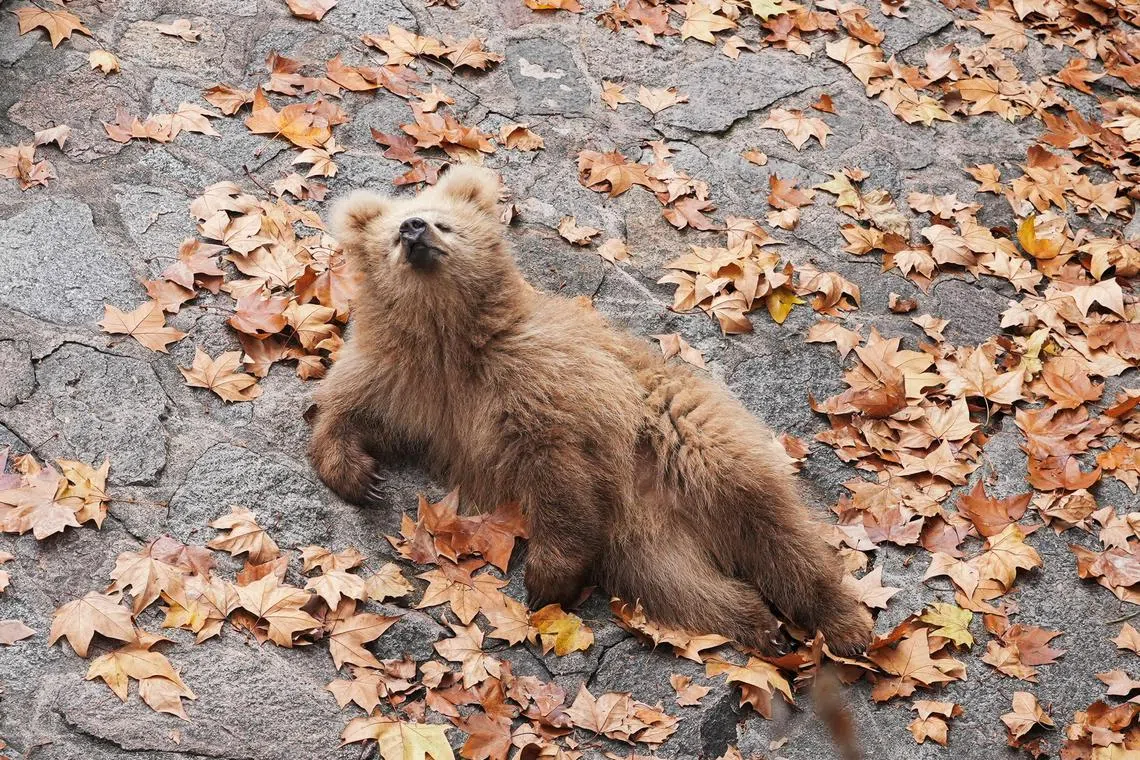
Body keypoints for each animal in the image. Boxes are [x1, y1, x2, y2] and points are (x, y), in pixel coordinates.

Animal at [308, 165, 874, 656]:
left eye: (443, 220)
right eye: (390, 234)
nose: (414, 227)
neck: (449, 340)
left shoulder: (539, 382)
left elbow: (559, 470)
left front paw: (543, 578)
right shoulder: (407, 383)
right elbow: (346, 410)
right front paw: (360, 476)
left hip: (696, 443)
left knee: (776, 530)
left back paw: (845, 625)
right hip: (644, 545)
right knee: (681, 588)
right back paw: (760, 625)